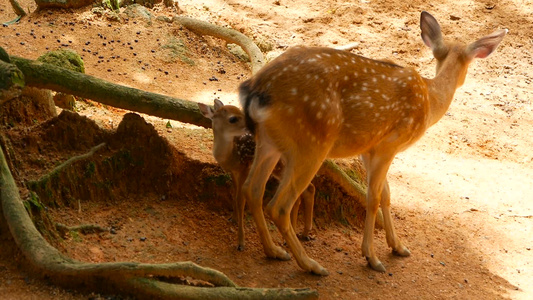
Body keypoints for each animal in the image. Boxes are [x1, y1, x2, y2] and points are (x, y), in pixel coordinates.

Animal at [200, 100, 316, 251]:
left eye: (241, 111)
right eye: (233, 118)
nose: (253, 125)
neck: (230, 156)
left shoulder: (245, 167)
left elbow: (241, 201)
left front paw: (241, 243)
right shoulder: (234, 172)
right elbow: (235, 195)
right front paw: (233, 218)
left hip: (281, 166)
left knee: (304, 191)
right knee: (306, 190)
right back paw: (304, 233)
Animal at [239, 11, 504, 274]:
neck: (430, 100)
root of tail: (255, 91)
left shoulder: (369, 148)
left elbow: (386, 194)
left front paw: (398, 246)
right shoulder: (390, 143)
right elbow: (374, 197)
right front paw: (372, 257)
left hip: (270, 142)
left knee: (252, 189)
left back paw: (274, 251)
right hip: (311, 142)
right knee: (278, 206)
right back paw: (311, 265)